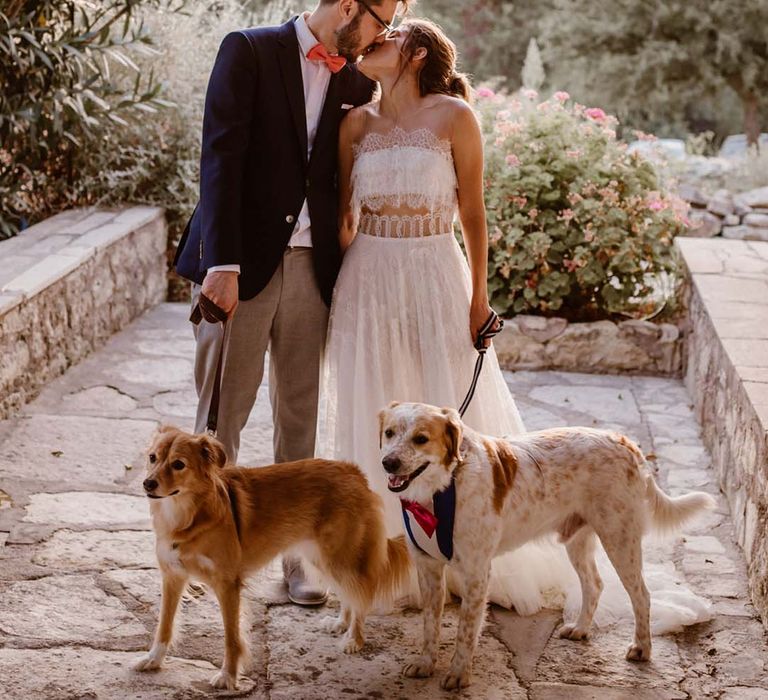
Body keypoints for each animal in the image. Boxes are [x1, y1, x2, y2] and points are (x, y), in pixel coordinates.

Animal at [134, 424, 408, 692]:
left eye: (178, 464)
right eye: (153, 458)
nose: (148, 483)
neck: (188, 514)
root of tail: (353, 472)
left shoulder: (227, 585)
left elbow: (232, 637)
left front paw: (228, 676)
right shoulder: (172, 577)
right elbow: (164, 625)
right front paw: (153, 659)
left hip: (341, 557)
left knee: (361, 594)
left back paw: (354, 638)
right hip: (323, 557)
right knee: (348, 593)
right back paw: (341, 623)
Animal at [380, 402, 716, 692]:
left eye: (421, 438)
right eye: (389, 433)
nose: (388, 463)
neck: (442, 488)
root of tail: (623, 441)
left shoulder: (476, 573)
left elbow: (465, 631)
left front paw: (459, 674)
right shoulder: (428, 569)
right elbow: (430, 626)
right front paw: (426, 663)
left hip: (620, 539)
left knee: (642, 596)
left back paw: (642, 648)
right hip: (578, 540)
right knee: (594, 584)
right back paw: (580, 628)